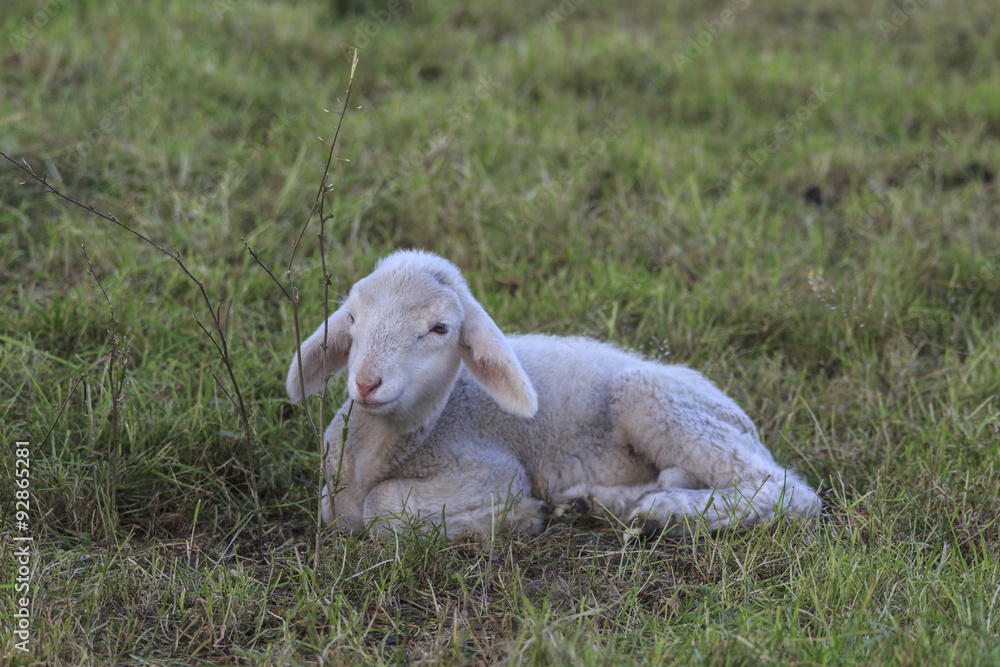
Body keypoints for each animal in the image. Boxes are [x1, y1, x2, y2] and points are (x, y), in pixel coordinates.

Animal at [287, 249, 821, 539]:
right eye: (352, 318)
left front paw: (515, 518)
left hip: (658, 401)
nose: (366, 382)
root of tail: (740, 417)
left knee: (787, 491)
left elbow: (381, 510)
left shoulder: (489, 469)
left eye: (440, 328)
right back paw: (599, 502)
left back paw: (663, 512)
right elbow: (341, 514)